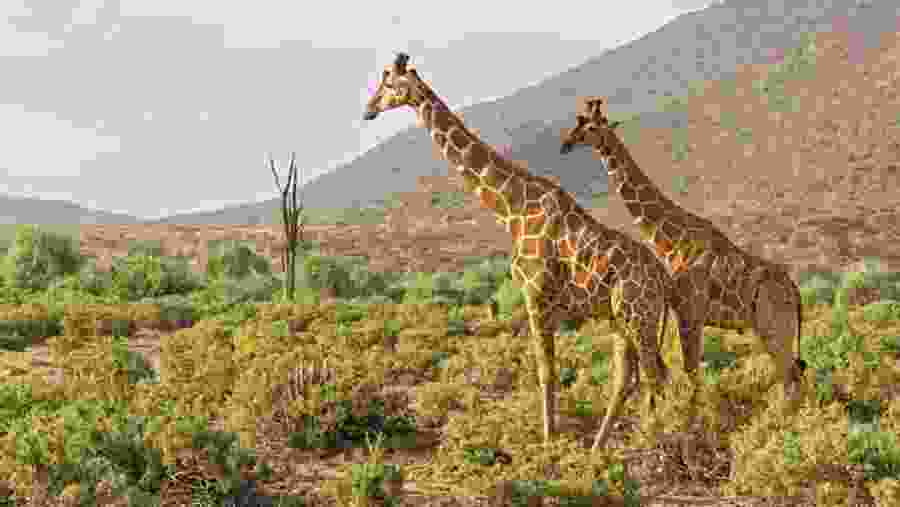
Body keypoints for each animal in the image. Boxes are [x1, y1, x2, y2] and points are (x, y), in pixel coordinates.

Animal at [363, 53, 679, 451]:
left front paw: (548, 443)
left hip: (639, 316)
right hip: (621, 319)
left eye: (389, 83)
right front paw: (553, 440)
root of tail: (664, 280)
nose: (368, 110)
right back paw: (601, 449)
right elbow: (548, 371)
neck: (511, 209)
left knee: (655, 375)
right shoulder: (543, 301)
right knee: (632, 378)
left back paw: (658, 441)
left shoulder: (535, 295)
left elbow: (546, 372)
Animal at [560, 97, 807, 404]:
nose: (566, 143)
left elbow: (691, 369)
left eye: (591, 127)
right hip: (774, 330)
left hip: (775, 327)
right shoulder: (685, 311)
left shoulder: (690, 310)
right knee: (794, 374)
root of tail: (796, 293)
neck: (672, 239)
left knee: (790, 376)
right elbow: (691, 369)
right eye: (578, 123)